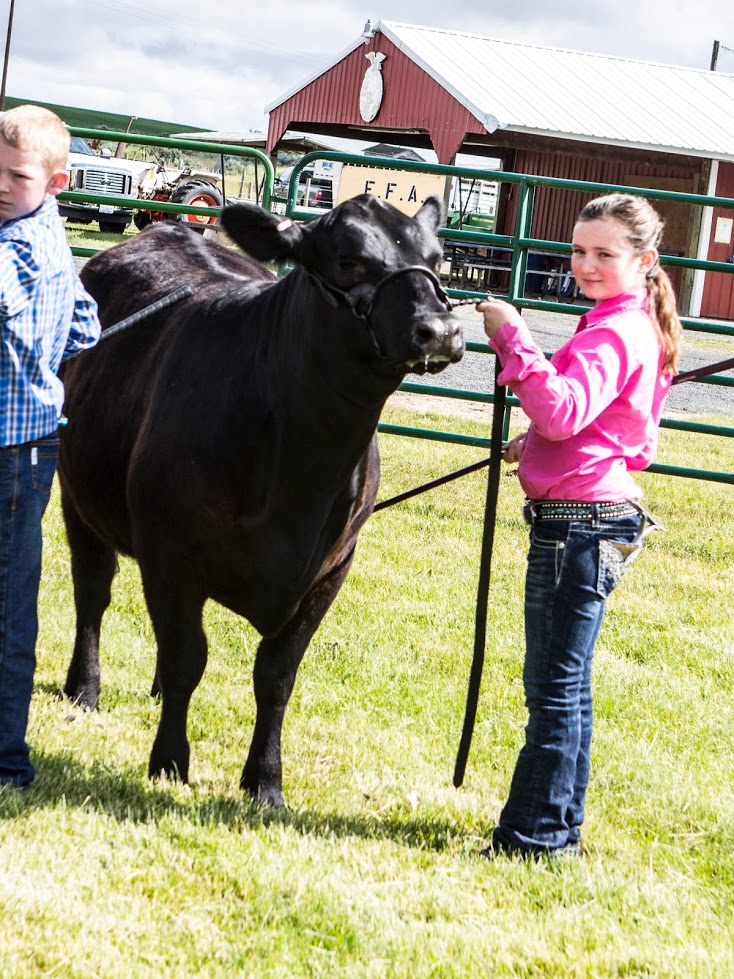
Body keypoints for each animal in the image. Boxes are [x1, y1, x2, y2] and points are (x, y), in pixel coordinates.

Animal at [57, 193, 464, 808]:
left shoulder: (332, 569)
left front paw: (266, 782)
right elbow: (187, 657)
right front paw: (169, 762)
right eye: (349, 259)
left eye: (437, 258)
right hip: (75, 494)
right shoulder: (169, 554)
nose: (439, 330)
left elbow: (276, 675)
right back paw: (83, 688)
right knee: (93, 592)